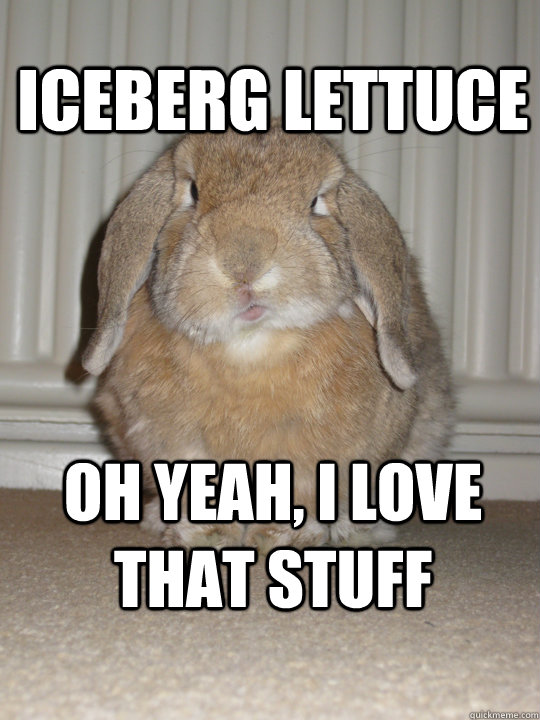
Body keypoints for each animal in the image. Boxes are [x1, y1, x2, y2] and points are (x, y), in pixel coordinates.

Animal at [83, 121, 454, 552]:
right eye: (192, 192)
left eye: (316, 202)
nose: (244, 262)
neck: (250, 347)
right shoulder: (174, 442)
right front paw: (207, 537)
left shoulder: (317, 455)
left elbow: (305, 492)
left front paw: (284, 537)